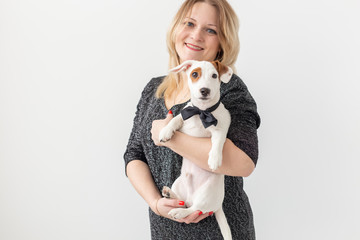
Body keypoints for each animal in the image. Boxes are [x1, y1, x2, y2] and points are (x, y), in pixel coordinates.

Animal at [160, 60, 233, 240]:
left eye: (214, 75)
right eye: (194, 74)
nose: (204, 90)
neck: (201, 111)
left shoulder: (221, 129)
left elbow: (218, 141)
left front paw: (214, 159)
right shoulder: (184, 115)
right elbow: (176, 119)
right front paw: (165, 131)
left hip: (206, 193)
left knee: (193, 208)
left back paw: (179, 212)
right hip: (179, 182)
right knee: (183, 201)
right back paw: (170, 194)